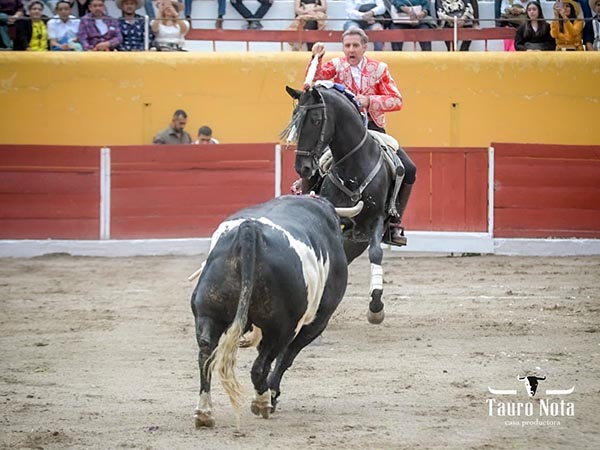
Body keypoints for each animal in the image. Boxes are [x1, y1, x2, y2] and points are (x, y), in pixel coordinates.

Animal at [192, 195, 360, 428]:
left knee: (206, 355)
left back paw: (205, 412)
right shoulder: (316, 322)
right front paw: (272, 394)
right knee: (262, 363)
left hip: (208, 313)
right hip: (282, 327)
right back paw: (263, 401)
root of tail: (249, 230)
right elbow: (286, 357)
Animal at [284, 84, 400, 324]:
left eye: (316, 120)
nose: (302, 167)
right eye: (295, 117)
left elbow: (376, 253)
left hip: (358, 238)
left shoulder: (376, 219)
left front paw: (376, 308)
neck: (354, 166)